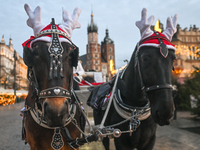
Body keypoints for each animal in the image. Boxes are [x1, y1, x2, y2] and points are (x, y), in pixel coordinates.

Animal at [88, 8, 179, 150]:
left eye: (173, 58)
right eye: (145, 58)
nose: (165, 112)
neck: (136, 110)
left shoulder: (149, 140)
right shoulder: (121, 142)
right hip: (102, 132)